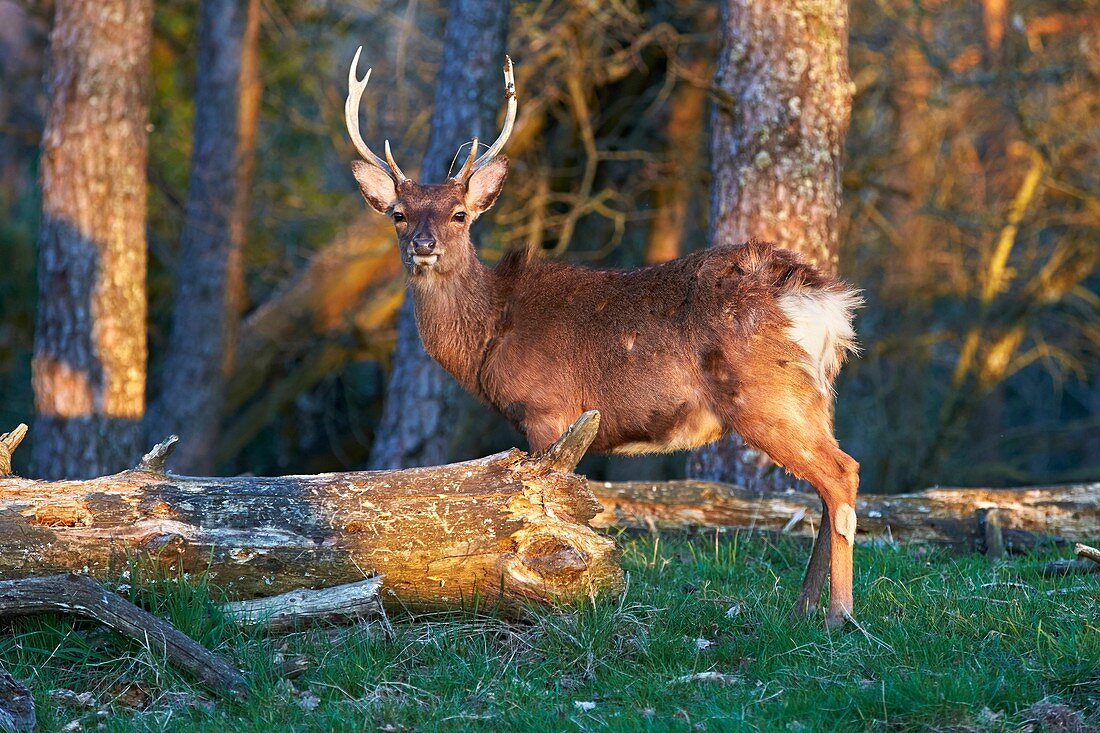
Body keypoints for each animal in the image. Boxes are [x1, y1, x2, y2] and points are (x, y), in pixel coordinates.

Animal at [347, 48, 862, 625]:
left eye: (460, 214)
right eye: (398, 214)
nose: (424, 244)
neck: (491, 333)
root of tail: (827, 302)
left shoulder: (547, 409)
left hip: (767, 395)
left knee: (841, 474)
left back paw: (839, 613)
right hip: (816, 395)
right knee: (826, 486)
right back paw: (803, 608)